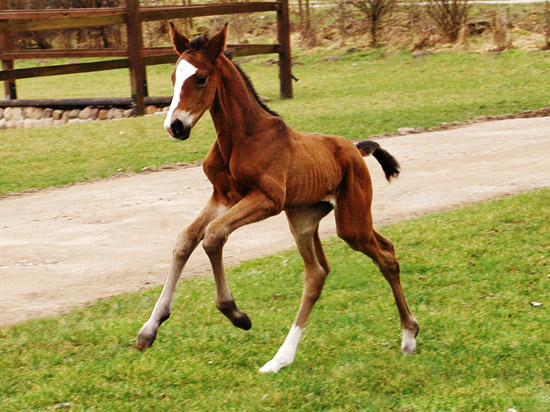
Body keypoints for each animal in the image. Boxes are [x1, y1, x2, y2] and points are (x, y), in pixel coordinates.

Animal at [137, 22, 418, 372]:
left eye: (201, 78)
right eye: (174, 77)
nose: (175, 126)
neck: (242, 137)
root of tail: (355, 148)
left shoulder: (268, 199)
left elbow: (213, 237)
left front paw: (236, 314)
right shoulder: (224, 196)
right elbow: (185, 240)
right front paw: (149, 329)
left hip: (352, 222)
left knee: (386, 255)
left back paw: (409, 336)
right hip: (304, 219)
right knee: (317, 273)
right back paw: (281, 359)